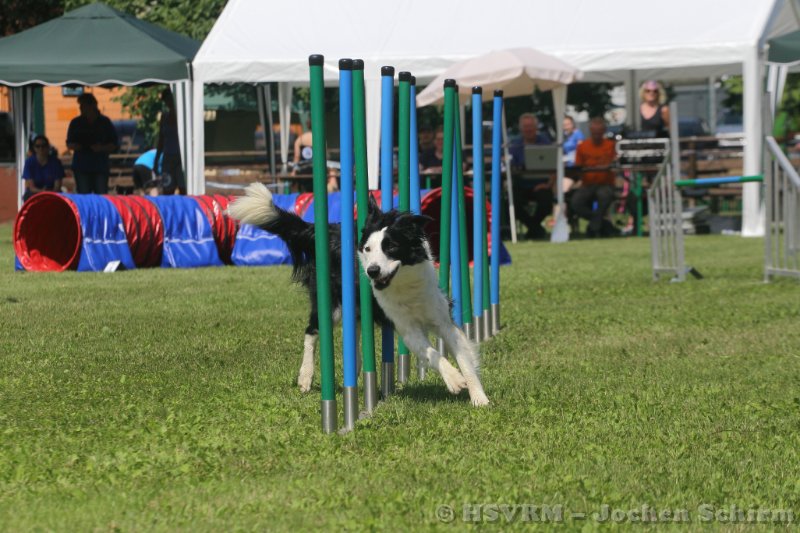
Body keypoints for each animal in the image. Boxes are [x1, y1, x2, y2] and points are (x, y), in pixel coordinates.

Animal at [227, 182, 489, 406]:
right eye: (367, 249)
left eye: (391, 247)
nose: (372, 271)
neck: (403, 284)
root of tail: (331, 230)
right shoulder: (407, 328)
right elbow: (432, 354)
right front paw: (454, 379)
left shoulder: (442, 320)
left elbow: (463, 356)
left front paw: (478, 397)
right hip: (331, 305)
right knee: (311, 332)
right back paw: (305, 377)